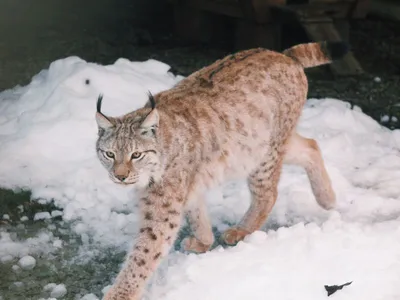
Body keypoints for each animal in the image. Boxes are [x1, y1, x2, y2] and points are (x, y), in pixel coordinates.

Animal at [95, 41, 346, 298]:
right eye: (109, 154)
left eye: (136, 155)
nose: (120, 176)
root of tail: (281, 54)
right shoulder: (189, 186)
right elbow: (196, 213)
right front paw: (203, 242)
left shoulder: (163, 210)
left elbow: (143, 255)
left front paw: (120, 294)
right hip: (269, 144)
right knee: (312, 145)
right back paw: (327, 198)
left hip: (263, 155)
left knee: (269, 193)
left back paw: (242, 231)